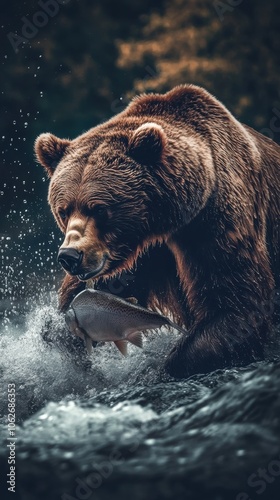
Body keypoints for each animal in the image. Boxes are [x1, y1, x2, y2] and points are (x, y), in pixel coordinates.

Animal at [35, 84, 280, 376]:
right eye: (63, 210)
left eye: (99, 209)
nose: (70, 256)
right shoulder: (138, 253)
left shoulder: (214, 222)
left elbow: (236, 302)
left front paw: (171, 365)